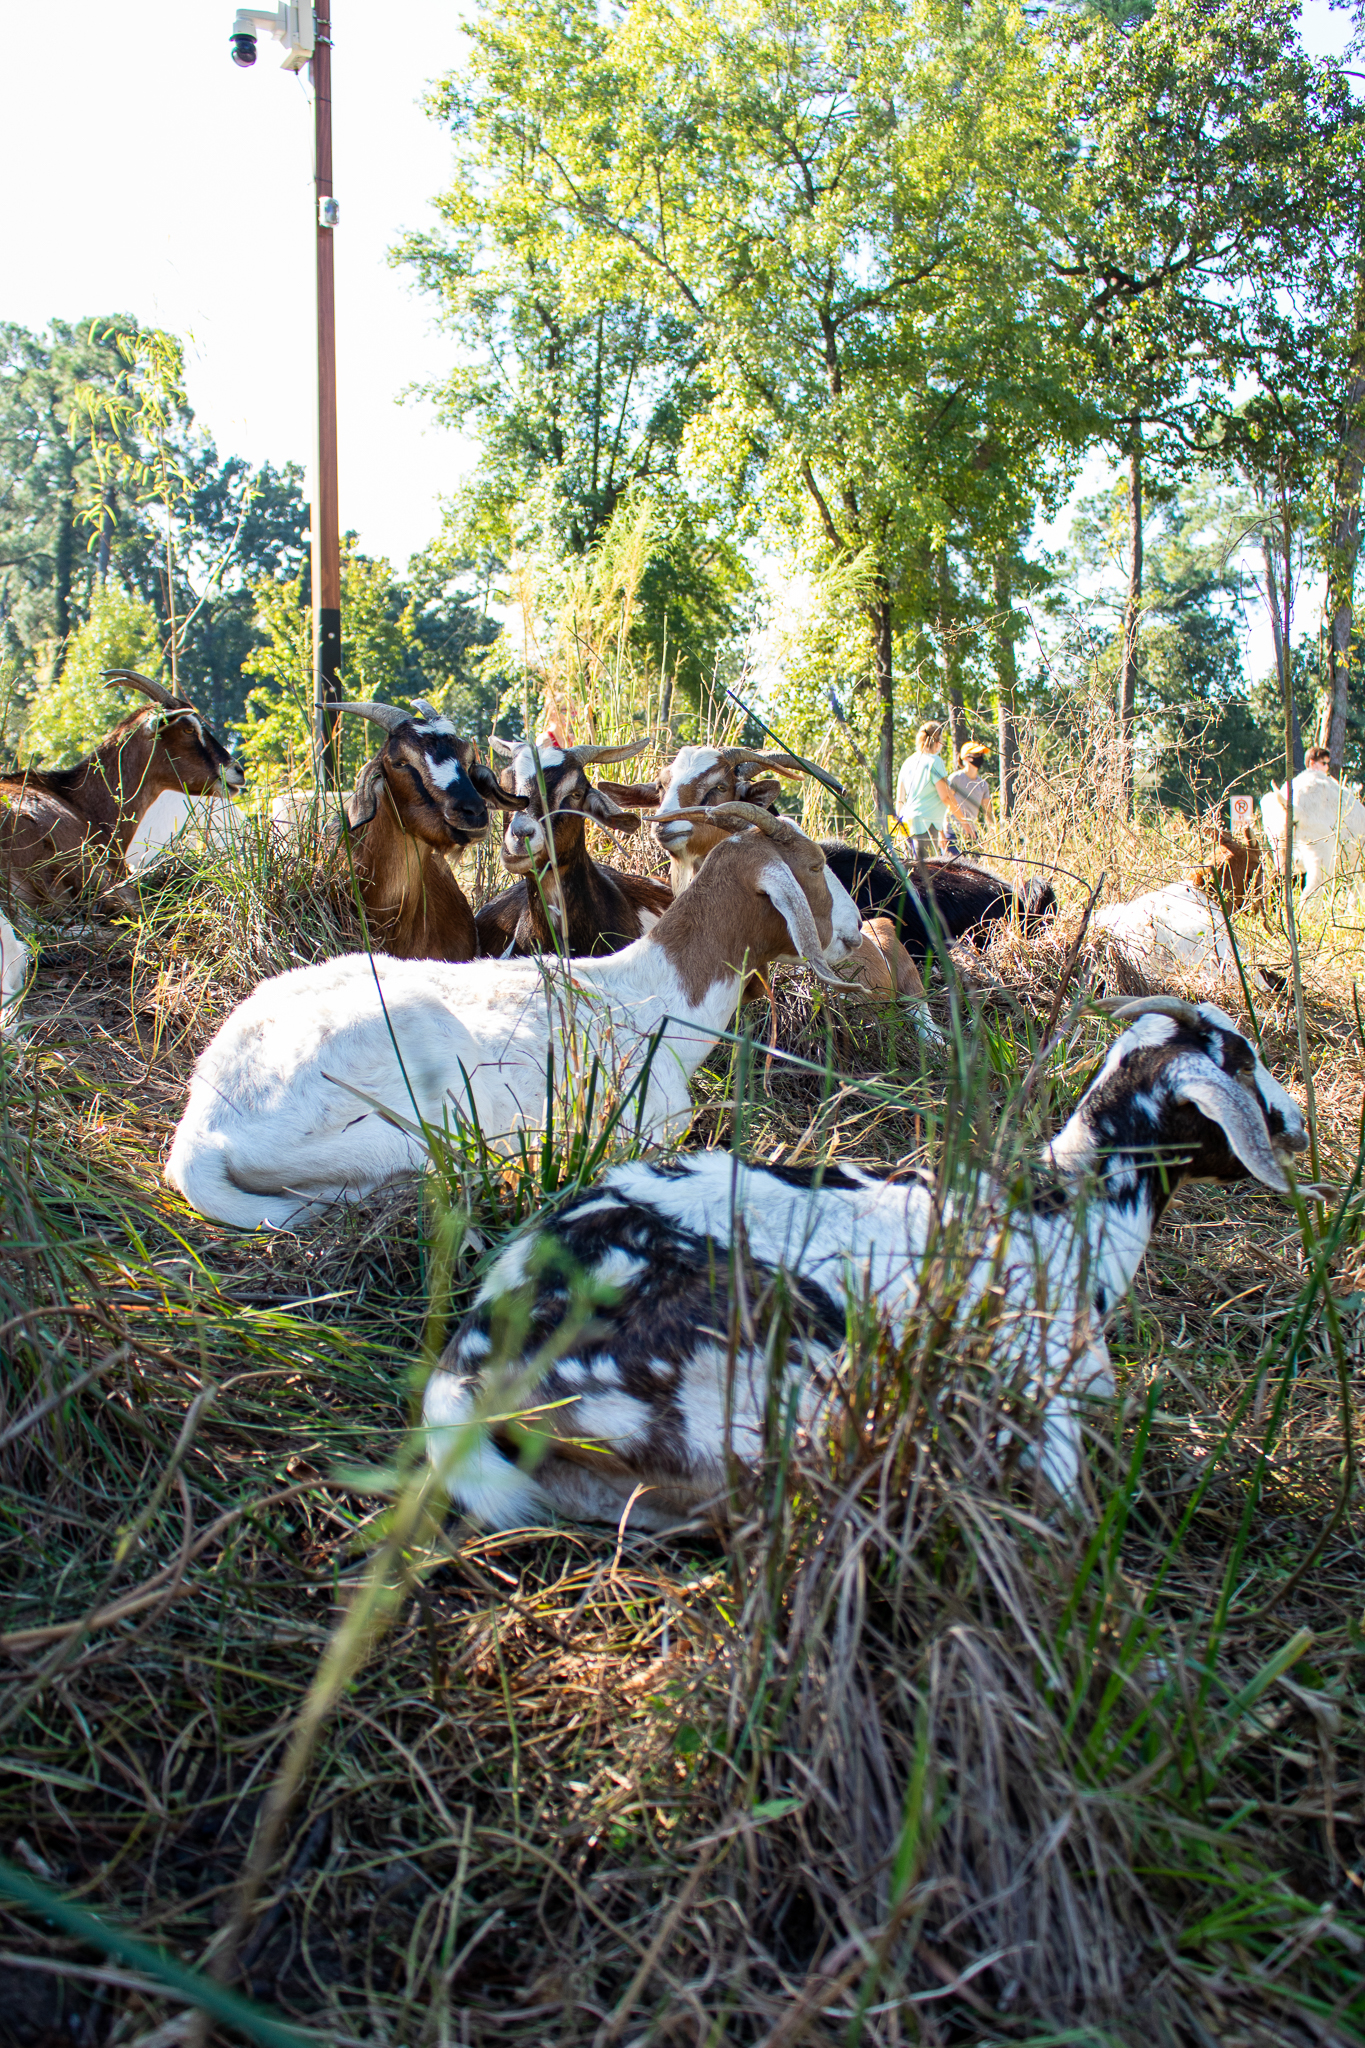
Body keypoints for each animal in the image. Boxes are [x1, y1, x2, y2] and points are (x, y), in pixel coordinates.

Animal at [166, 804, 867, 1230]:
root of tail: (204, 1132)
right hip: (403, 1127)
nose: (857, 933)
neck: (654, 995)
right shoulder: (648, 1127)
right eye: (812, 866)